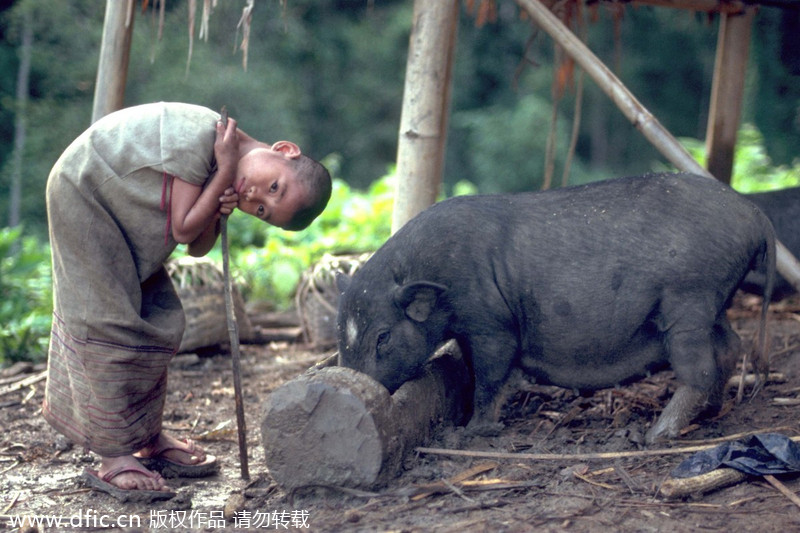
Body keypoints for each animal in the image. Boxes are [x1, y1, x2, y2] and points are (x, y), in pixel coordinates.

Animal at [338, 172, 776, 442]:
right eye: (341, 335)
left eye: (382, 336)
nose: (355, 387)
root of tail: (755, 215)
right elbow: (473, 370)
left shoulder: (490, 322)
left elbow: (490, 374)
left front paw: (474, 431)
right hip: (714, 301)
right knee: (730, 346)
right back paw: (709, 413)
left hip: (689, 299)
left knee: (700, 367)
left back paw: (655, 435)